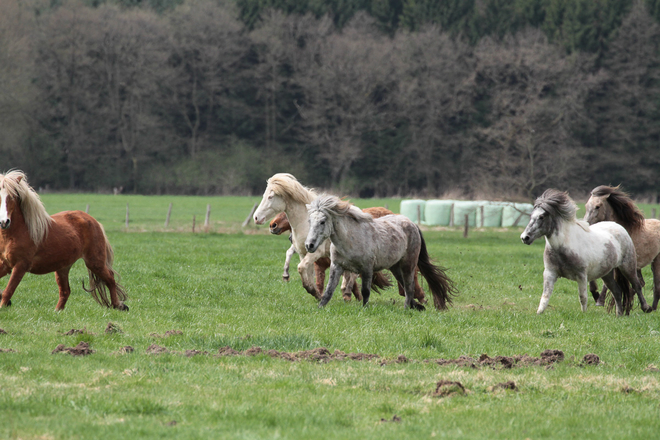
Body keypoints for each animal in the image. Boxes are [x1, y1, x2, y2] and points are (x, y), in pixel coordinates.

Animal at [0, 170, 128, 312]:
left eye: (12, 197)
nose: (4, 222)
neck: (15, 234)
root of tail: (93, 221)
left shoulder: (21, 265)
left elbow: (8, 291)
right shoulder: (5, 264)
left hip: (94, 262)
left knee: (110, 279)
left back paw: (118, 305)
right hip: (63, 268)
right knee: (65, 291)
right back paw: (57, 312)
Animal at [306, 194, 456, 312]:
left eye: (322, 221)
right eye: (309, 221)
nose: (309, 245)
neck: (350, 240)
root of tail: (412, 224)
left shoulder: (367, 268)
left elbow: (365, 291)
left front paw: (364, 309)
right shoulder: (336, 267)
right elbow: (328, 291)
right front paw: (320, 308)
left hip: (408, 265)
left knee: (409, 287)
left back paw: (406, 309)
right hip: (395, 267)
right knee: (405, 286)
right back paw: (415, 306)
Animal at [520, 189, 648, 316]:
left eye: (541, 217)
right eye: (531, 215)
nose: (525, 237)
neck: (564, 246)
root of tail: (619, 226)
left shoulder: (581, 275)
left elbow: (583, 297)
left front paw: (583, 314)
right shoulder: (550, 273)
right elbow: (545, 297)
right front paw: (539, 313)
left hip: (627, 267)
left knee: (637, 285)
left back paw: (646, 308)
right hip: (607, 273)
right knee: (617, 291)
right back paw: (619, 314)